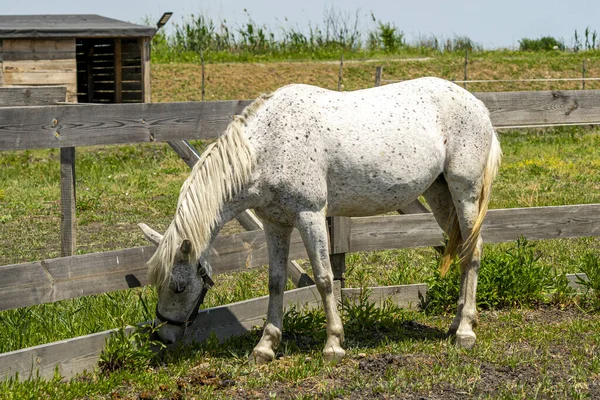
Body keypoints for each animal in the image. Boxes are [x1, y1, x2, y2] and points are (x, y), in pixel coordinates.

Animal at [139, 77, 502, 362]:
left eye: (178, 286)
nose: (161, 336)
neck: (269, 145)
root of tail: (478, 106)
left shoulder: (310, 215)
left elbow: (325, 278)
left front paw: (333, 345)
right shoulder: (275, 223)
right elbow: (275, 282)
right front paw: (266, 346)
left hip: (465, 191)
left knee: (473, 253)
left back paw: (465, 332)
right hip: (440, 194)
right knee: (462, 251)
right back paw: (456, 324)